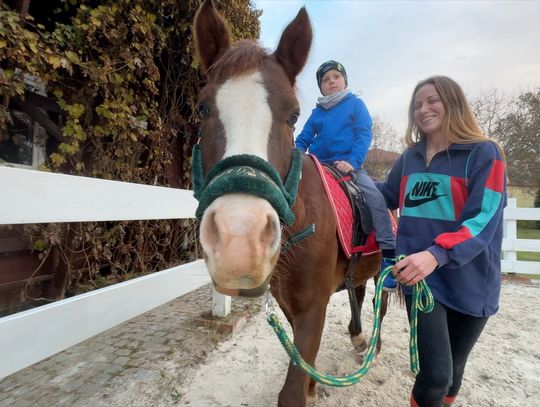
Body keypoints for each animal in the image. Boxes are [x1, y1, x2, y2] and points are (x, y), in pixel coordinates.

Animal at [192, 1, 390, 406]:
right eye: (202, 109)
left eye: (293, 114)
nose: (240, 241)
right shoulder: (287, 303)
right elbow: (304, 363)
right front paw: (315, 386)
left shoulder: (314, 304)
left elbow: (293, 390)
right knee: (359, 290)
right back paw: (359, 336)